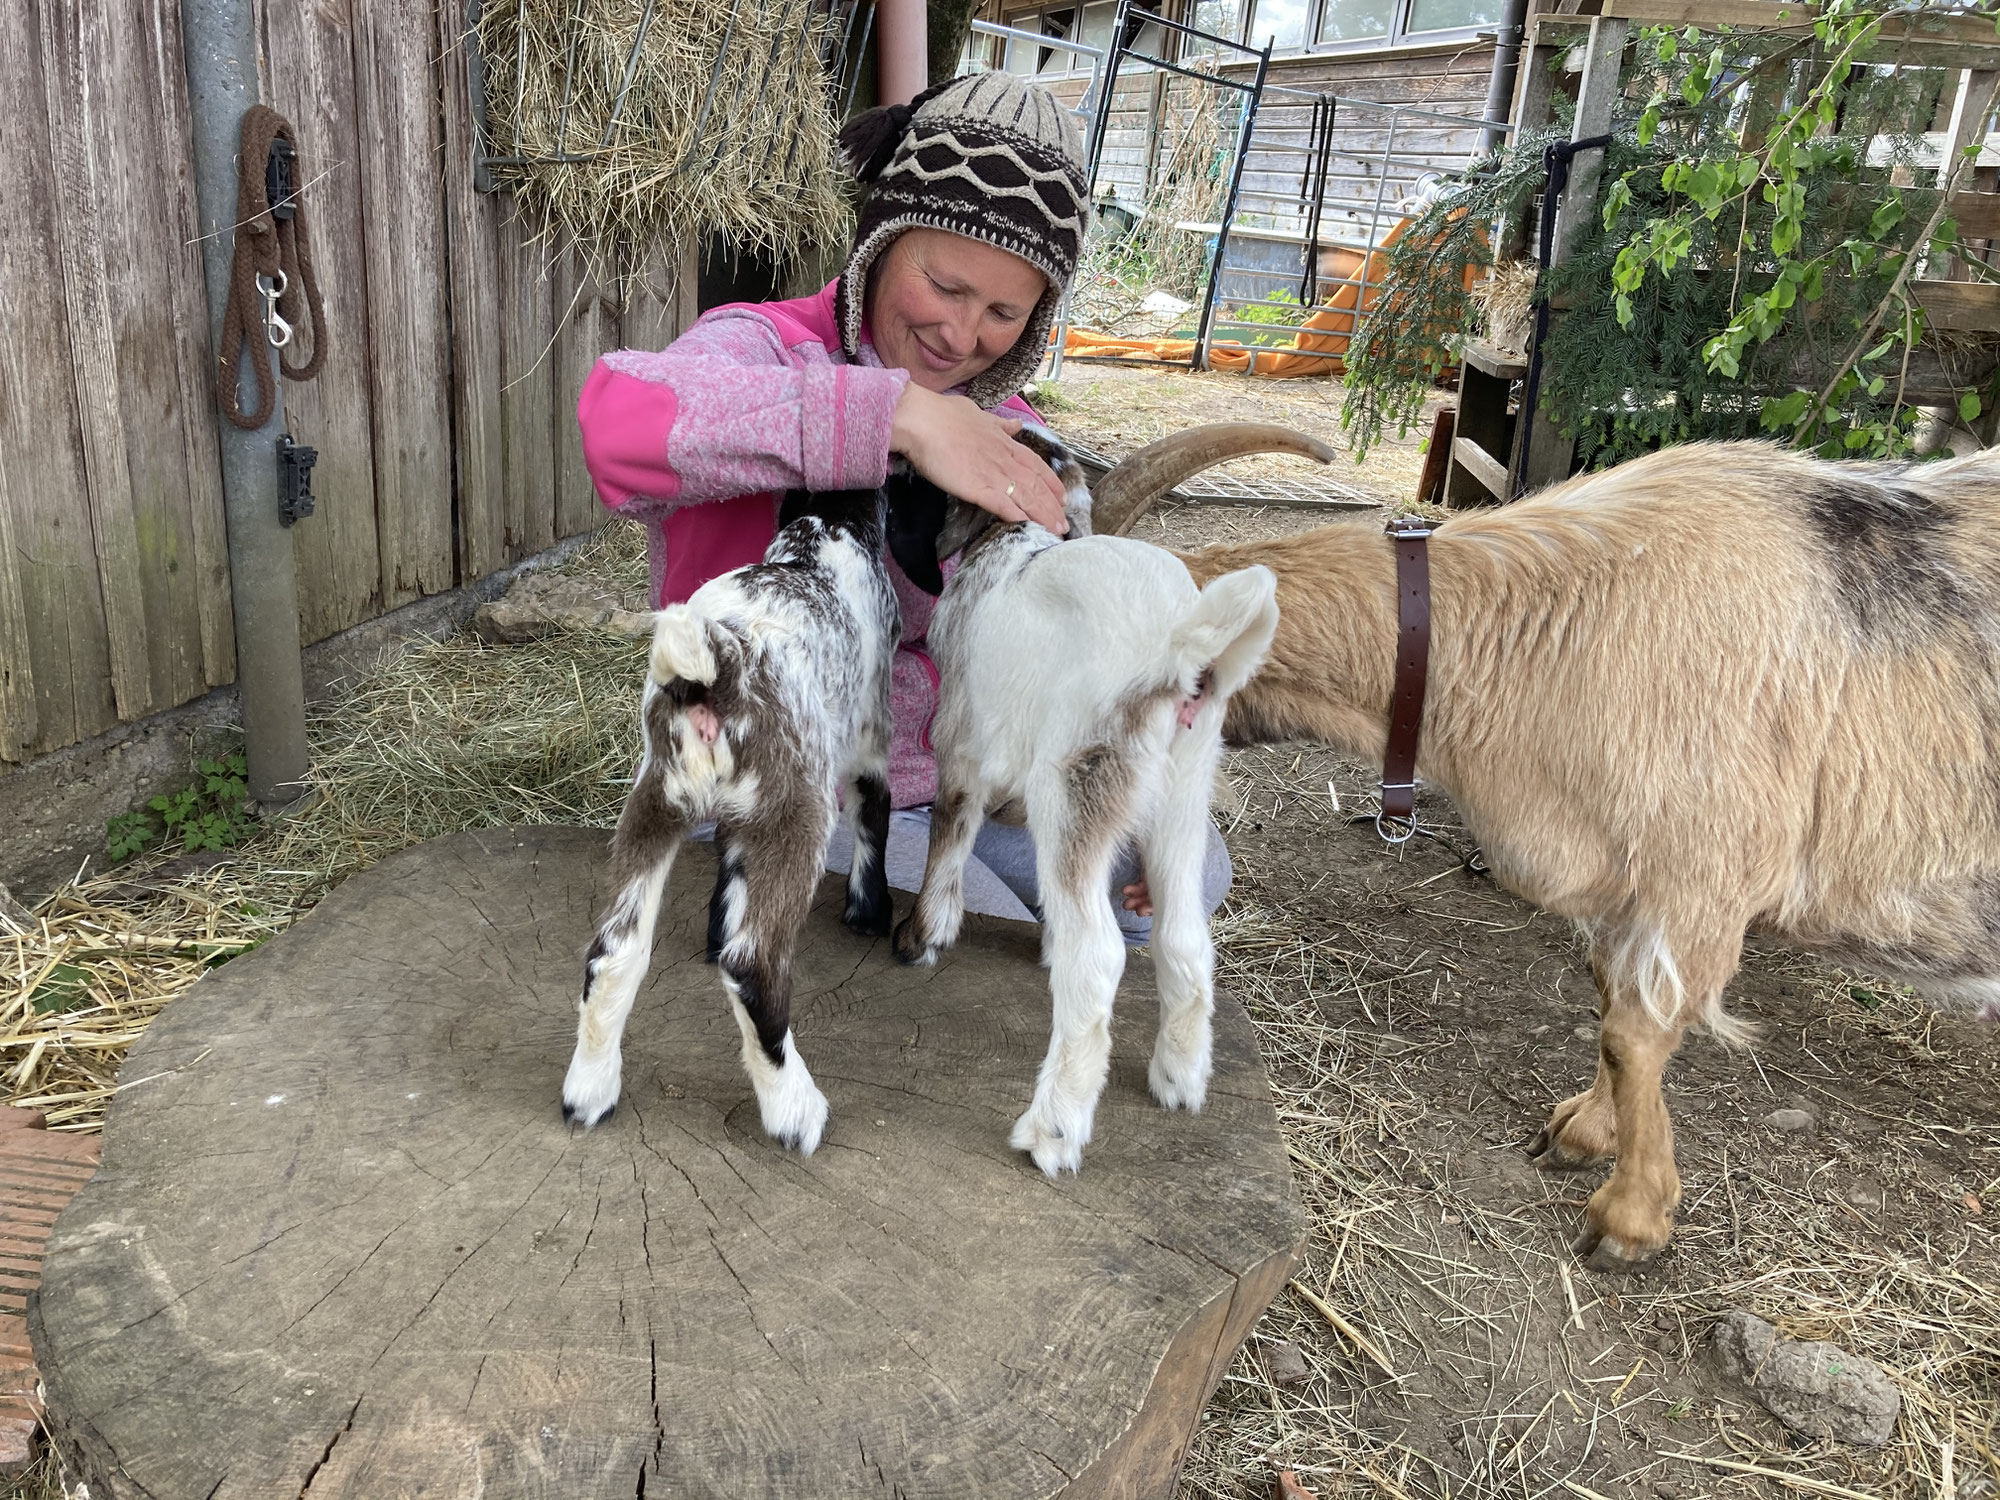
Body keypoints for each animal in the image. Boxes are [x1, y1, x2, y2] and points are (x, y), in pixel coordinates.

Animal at [1112, 444, 2000, 1272]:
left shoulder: (1702, 879)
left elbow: (1636, 1033)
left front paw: (1629, 1219)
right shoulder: (1624, 886)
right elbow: (1610, 1014)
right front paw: (1584, 1134)